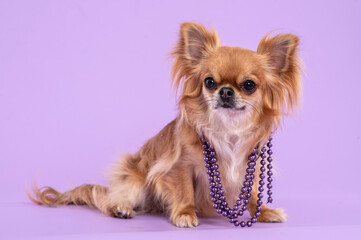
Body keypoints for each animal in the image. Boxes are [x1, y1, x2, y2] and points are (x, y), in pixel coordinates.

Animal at [28, 22, 300, 227]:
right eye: (209, 82)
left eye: (249, 85)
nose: (225, 91)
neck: (227, 128)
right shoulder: (178, 167)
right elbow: (184, 191)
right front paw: (185, 214)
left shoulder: (249, 166)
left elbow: (253, 193)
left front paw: (265, 212)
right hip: (135, 180)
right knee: (109, 199)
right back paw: (120, 208)